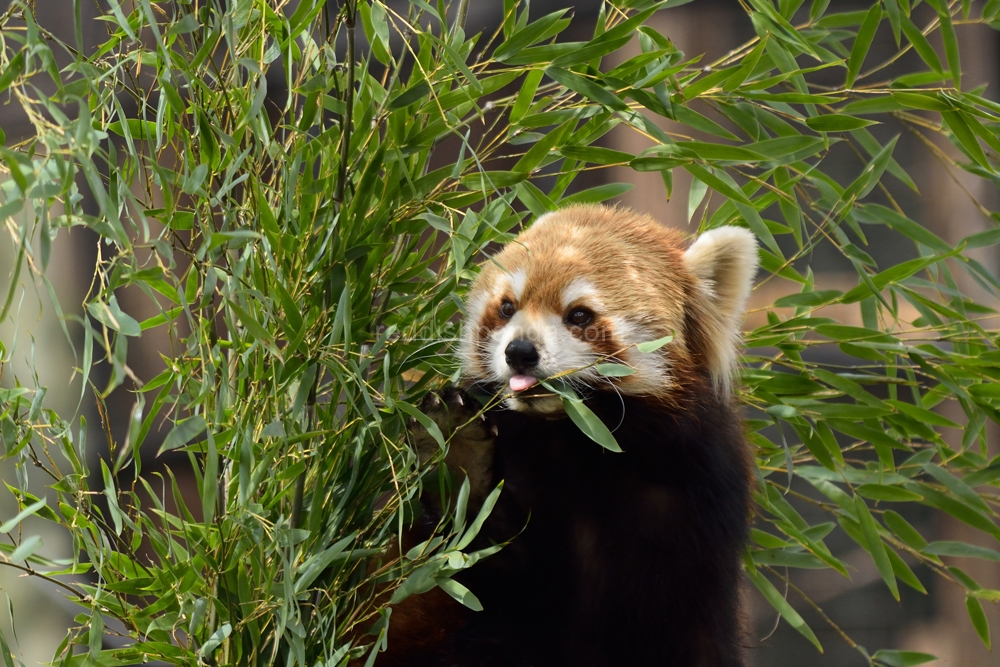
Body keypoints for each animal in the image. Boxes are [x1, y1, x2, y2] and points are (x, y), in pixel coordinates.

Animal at [382, 206, 756, 664]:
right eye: (507, 307)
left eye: (579, 315)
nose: (519, 351)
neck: (577, 438)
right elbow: (485, 570)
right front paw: (459, 459)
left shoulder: (695, 498)